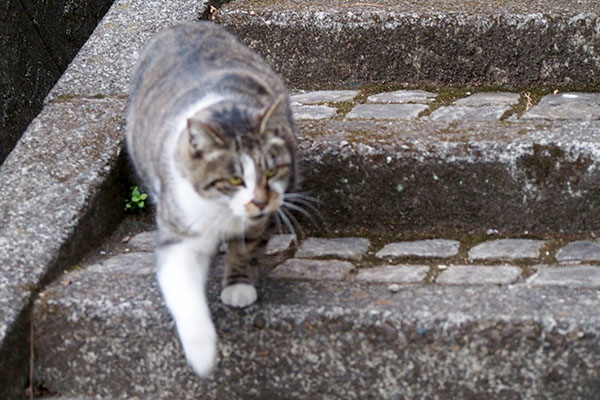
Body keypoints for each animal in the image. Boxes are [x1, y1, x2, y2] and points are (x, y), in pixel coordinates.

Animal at [125, 22, 298, 378]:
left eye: (271, 170)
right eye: (234, 179)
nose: (261, 201)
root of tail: (181, 25)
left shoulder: (258, 221)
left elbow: (245, 250)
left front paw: (238, 286)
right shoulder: (179, 226)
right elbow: (182, 289)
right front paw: (202, 354)